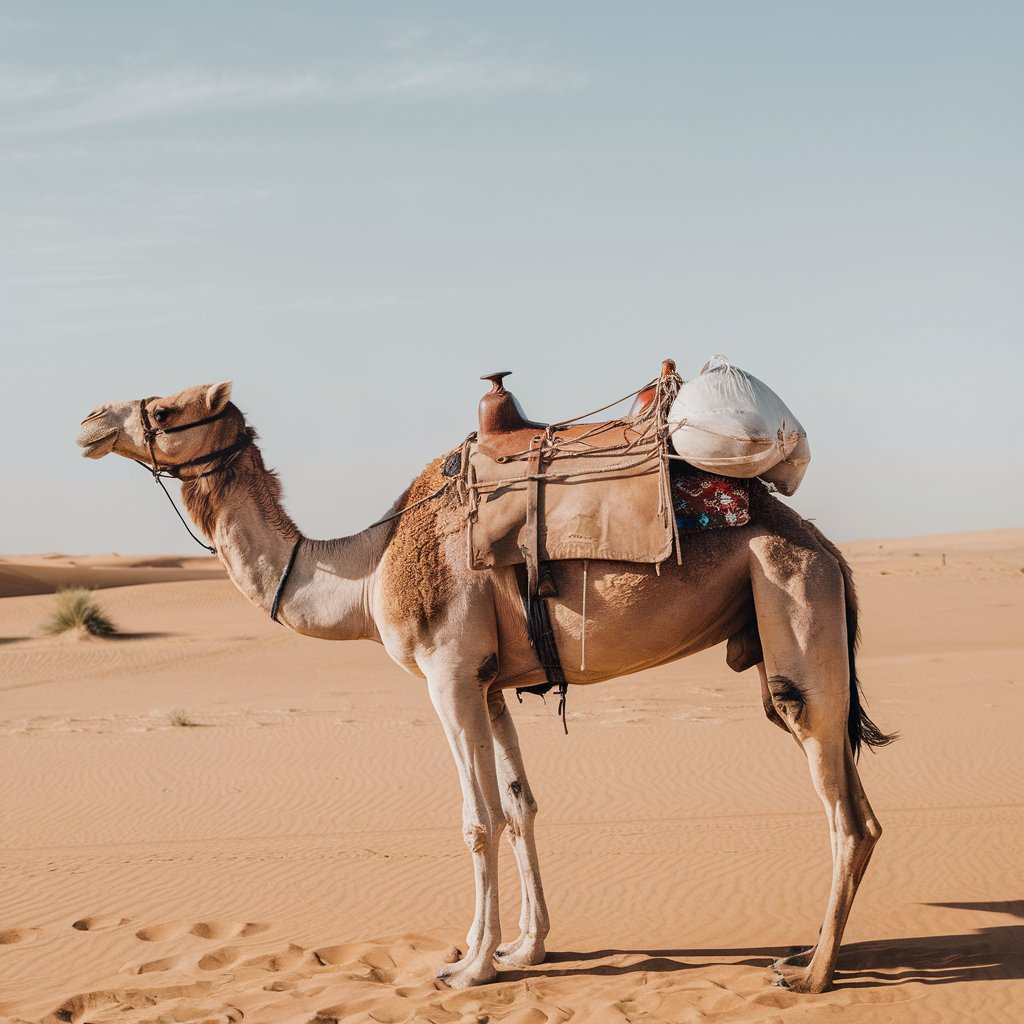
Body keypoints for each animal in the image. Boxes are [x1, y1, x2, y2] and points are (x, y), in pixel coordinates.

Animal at [77, 378, 897, 991]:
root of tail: (827, 548)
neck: (367, 569)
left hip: (792, 605)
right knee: (857, 804)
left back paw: (811, 974)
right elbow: (519, 805)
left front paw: (469, 968)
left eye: (165, 409)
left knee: (844, 813)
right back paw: (807, 957)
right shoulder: (494, 683)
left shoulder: (446, 674)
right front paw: (521, 949)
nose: (87, 421)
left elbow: (476, 819)